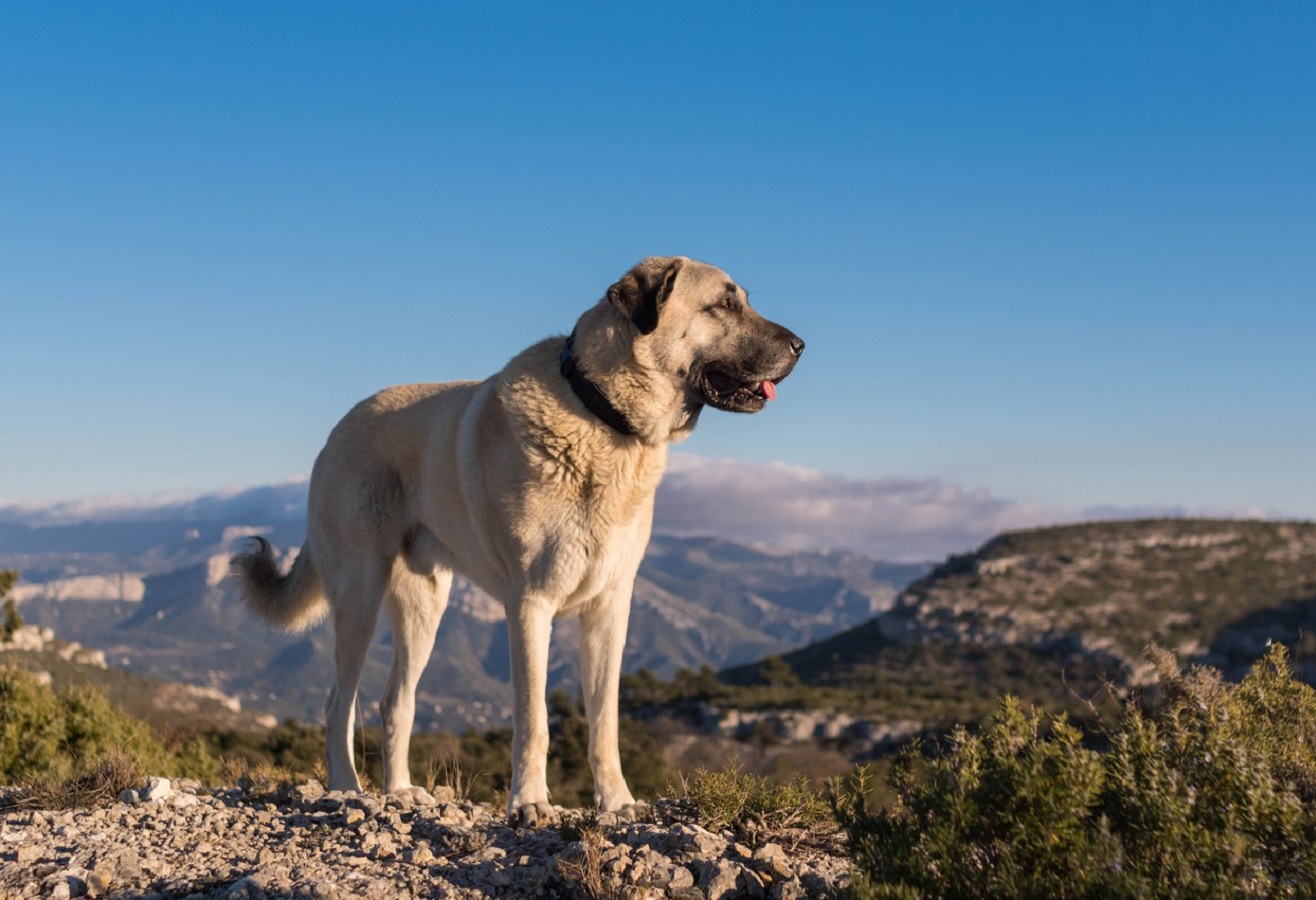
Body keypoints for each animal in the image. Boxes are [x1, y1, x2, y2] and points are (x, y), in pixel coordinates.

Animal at [231, 256, 800, 826]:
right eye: (723, 304)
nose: (800, 345)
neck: (601, 417)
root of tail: (339, 427)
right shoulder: (530, 605)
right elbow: (534, 719)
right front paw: (530, 801)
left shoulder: (609, 610)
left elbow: (605, 722)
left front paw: (617, 802)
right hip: (360, 596)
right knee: (338, 704)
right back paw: (348, 788)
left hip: (425, 607)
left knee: (396, 702)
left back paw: (400, 791)